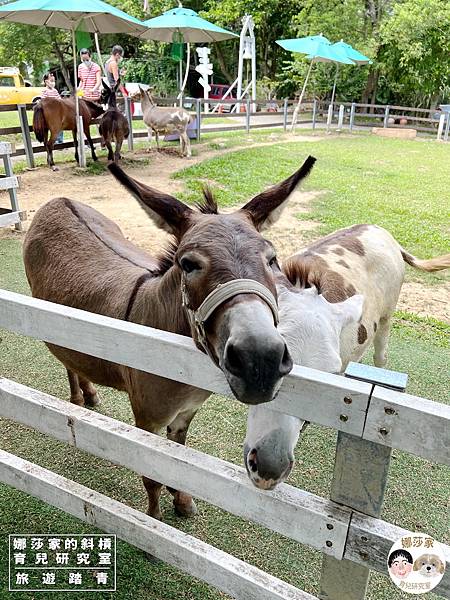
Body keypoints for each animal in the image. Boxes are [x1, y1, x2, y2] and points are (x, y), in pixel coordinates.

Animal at [22, 158, 314, 520]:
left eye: (272, 259)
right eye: (187, 264)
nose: (260, 361)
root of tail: (58, 199)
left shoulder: (185, 414)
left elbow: (178, 460)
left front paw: (182, 500)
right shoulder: (147, 420)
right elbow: (152, 474)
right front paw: (153, 519)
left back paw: (89, 394)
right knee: (66, 360)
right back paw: (79, 397)